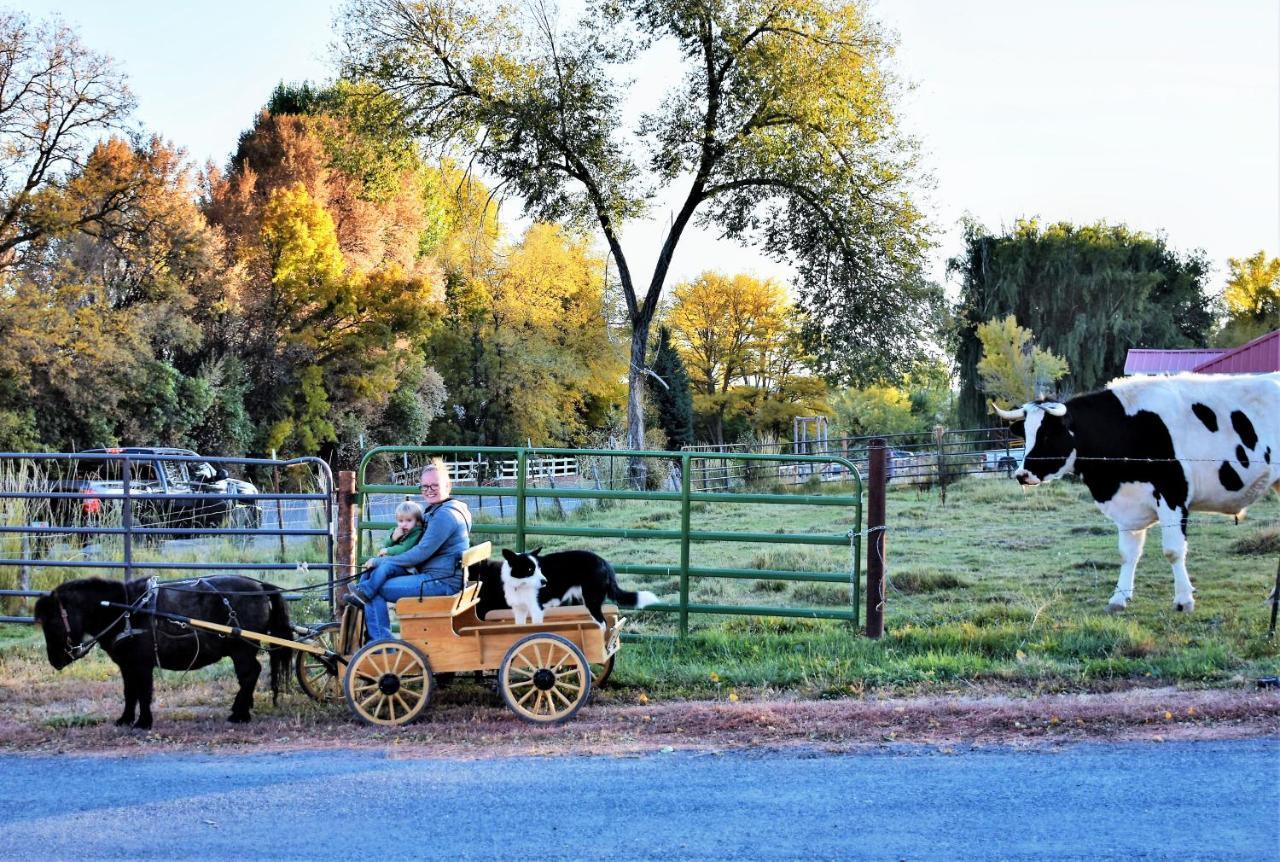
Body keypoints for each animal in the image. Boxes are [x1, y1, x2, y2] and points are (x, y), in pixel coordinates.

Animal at [33, 573, 294, 727]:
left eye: (53, 620)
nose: (55, 660)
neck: (126, 611)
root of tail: (261, 587)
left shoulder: (142, 664)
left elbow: (144, 692)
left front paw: (143, 722)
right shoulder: (127, 666)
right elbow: (130, 692)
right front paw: (125, 719)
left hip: (241, 650)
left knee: (249, 674)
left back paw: (239, 714)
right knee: (250, 675)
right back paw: (242, 709)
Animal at [998, 371, 1280, 612]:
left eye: (1048, 435)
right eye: (1025, 434)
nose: (1021, 474)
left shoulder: (1173, 495)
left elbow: (1173, 551)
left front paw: (1183, 600)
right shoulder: (1127, 506)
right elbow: (1127, 554)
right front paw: (1119, 598)